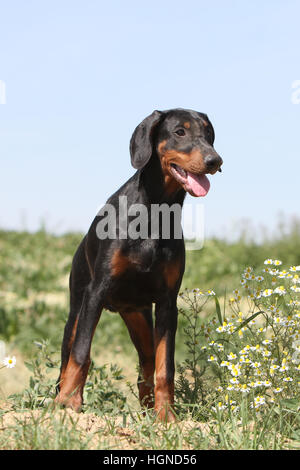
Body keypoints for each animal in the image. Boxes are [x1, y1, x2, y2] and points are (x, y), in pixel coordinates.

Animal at [55, 107, 223, 422]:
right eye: (179, 132)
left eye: (209, 134)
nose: (214, 160)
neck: (156, 211)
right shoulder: (96, 292)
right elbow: (81, 353)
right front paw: (70, 404)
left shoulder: (167, 303)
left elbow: (165, 366)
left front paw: (166, 415)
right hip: (77, 309)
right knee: (67, 356)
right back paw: (60, 396)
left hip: (139, 316)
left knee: (147, 363)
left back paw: (148, 409)